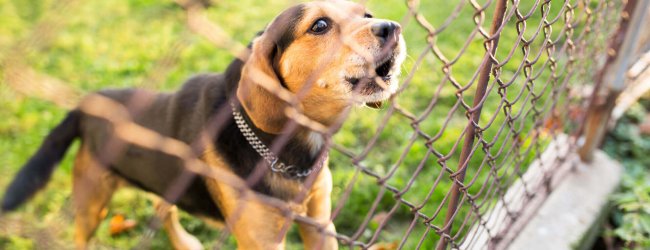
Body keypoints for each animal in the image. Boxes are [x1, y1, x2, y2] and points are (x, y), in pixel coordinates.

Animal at [1, 0, 404, 249]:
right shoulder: (261, 239)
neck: (288, 148)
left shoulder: (320, 224)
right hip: (92, 202)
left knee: (163, 208)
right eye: (320, 25)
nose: (393, 27)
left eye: (366, 12)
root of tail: (86, 105)